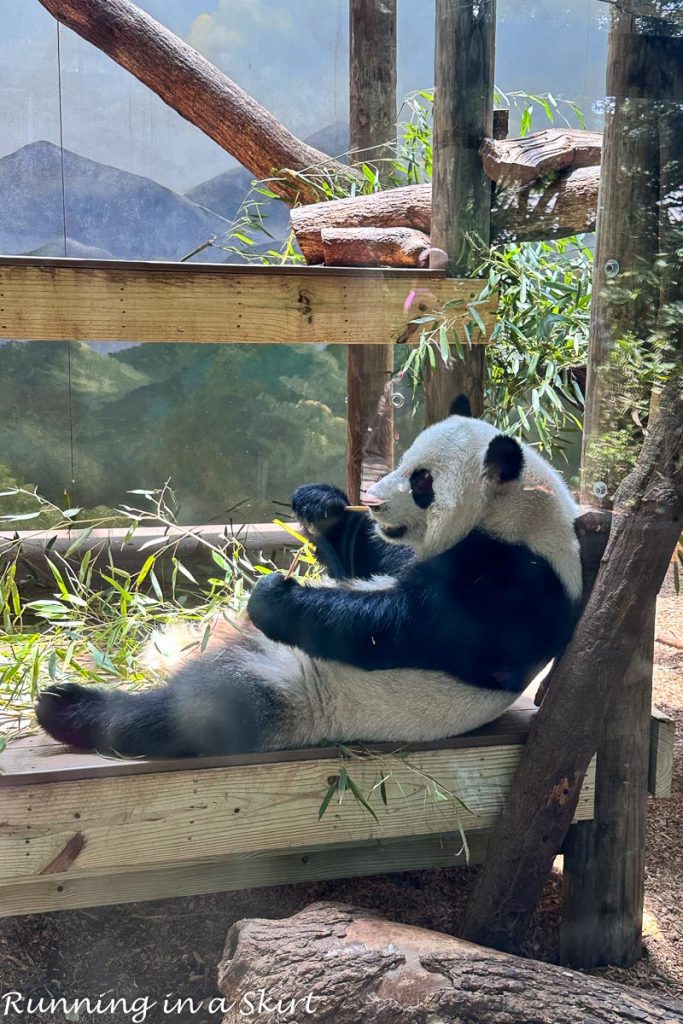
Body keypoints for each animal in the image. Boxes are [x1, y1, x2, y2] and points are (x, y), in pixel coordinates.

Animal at [36, 395, 581, 757]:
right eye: (405, 462)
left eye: (421, 480)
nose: (374, 501)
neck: (518, 512)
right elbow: (372, 559)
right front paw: (322, 505)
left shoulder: (509, 584)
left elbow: (400, 626)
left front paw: (273, 594)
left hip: (298, 688)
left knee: (197, 712)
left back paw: (69, 708)